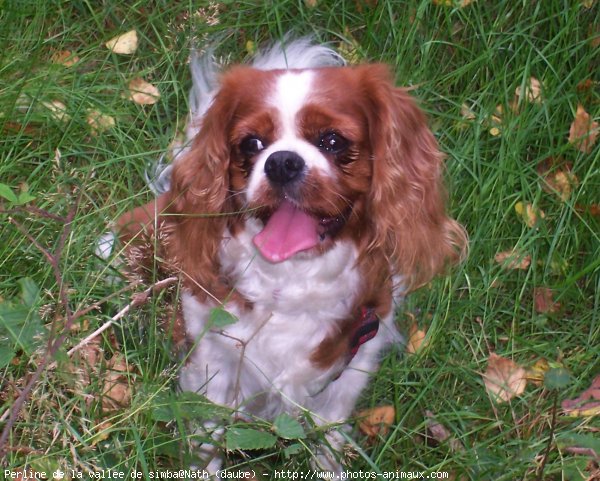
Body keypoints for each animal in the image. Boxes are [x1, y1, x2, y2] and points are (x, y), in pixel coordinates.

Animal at [115, 38, 466, 476]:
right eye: (251, 144)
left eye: (333, 141)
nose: (282, 161)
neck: (291, 279)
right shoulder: (211, 362)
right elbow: (207, 439)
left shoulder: (348, 373)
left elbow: (326, 445)